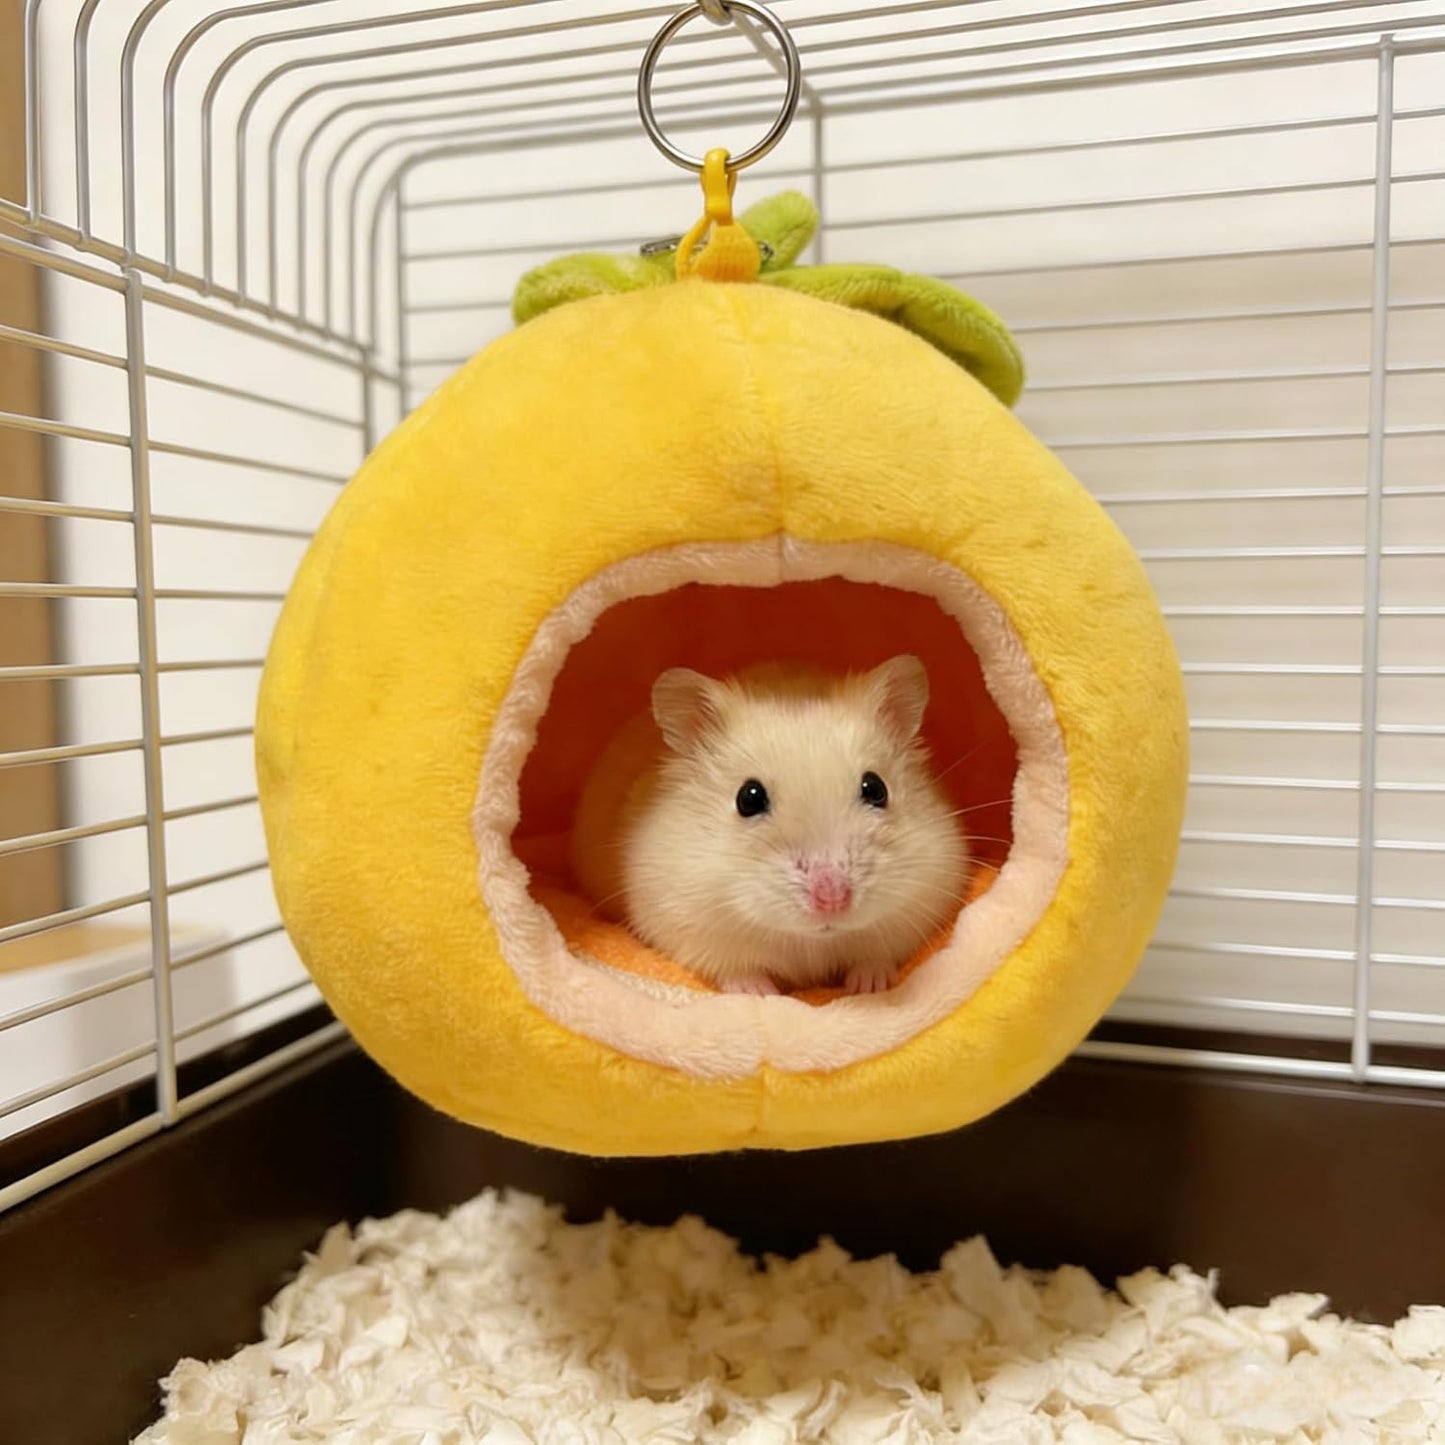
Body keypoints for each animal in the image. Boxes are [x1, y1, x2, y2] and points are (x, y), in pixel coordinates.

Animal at [570, 655, 969, 997]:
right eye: (748, 798)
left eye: (876, 788)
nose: (832, 901)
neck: (813, 939)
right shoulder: (687, 924)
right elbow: (737, 970)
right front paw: (760, 993)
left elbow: (876, 957)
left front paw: (868, 986)